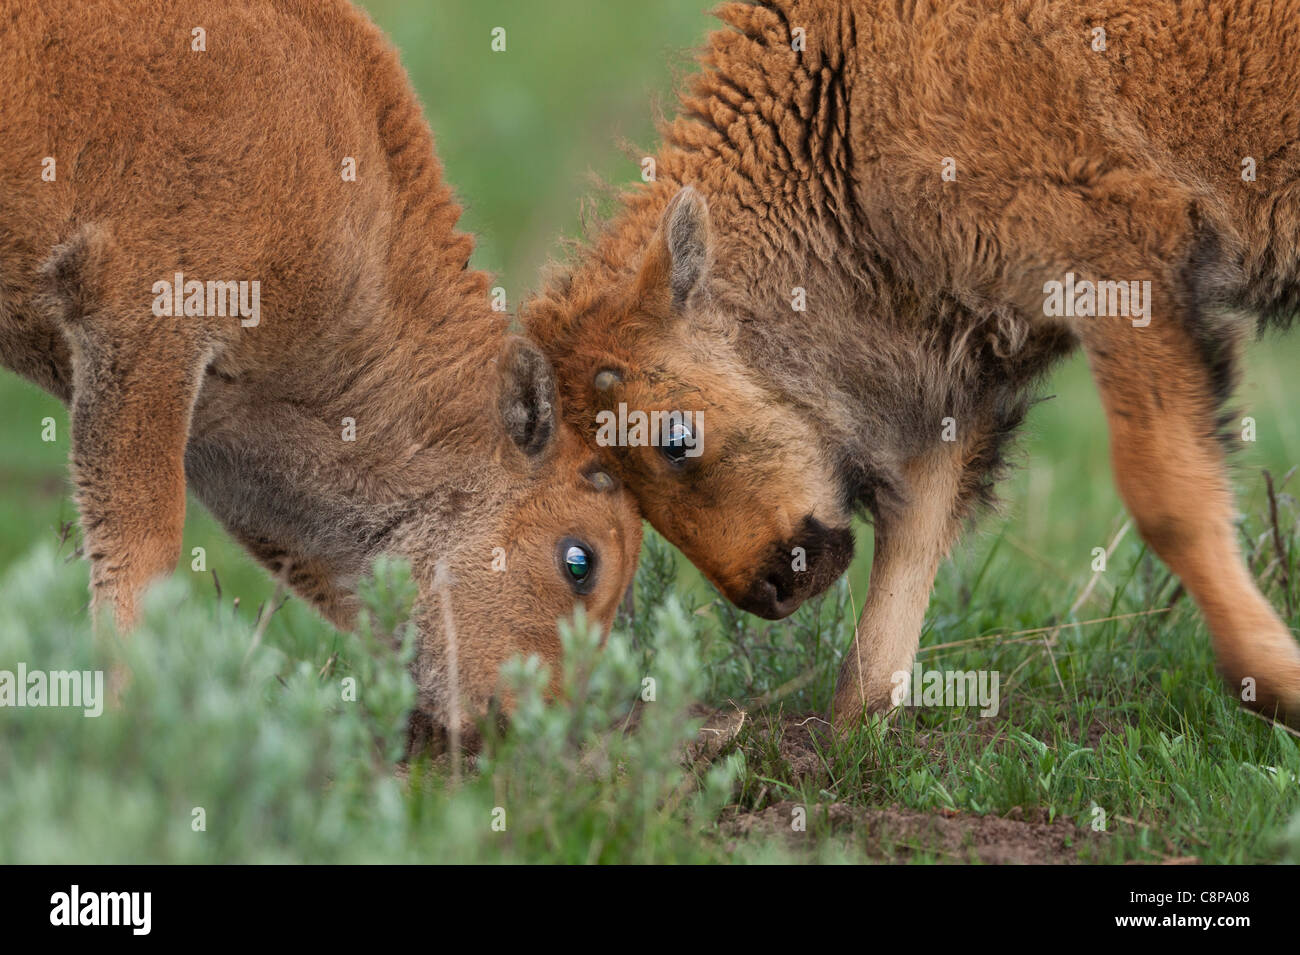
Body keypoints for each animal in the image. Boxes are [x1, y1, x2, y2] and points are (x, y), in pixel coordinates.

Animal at [525, 0, 1300, 727]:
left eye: (675, 438)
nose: (772, 589)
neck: (849, 95)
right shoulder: (959, 353)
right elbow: (913, 532)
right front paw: (851, 727)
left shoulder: (1121, 270)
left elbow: (1167, 492)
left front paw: (1276, 682)